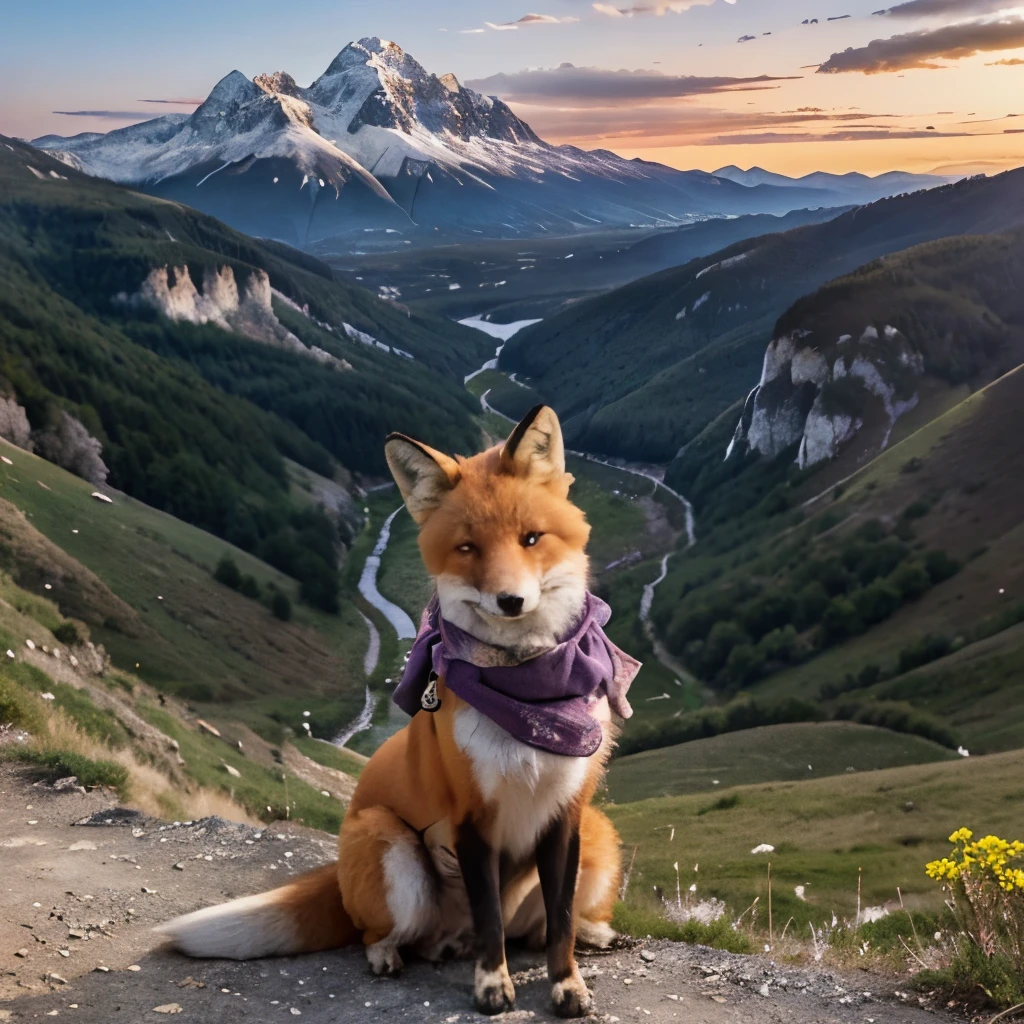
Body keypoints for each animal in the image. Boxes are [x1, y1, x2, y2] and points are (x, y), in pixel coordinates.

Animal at [154, 405, 634, 1015]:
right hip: (392, 846)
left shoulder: (567, 814)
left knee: (535, 927)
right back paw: (394, 953)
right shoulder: (470, 818)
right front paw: (491, 985)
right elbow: (490, 921)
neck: (527, 697)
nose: (510, 602)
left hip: (600, 833)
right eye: (468, 548)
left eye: (531, 539)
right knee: (390, 933)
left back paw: (594, 933)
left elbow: (561, 922)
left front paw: (567, 983)